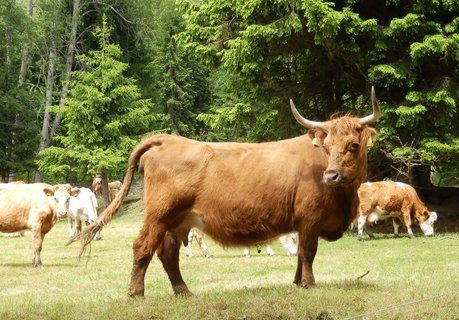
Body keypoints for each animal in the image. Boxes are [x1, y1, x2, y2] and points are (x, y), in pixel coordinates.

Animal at [72, 87, 380, 296]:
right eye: (327, 146)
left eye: (353, 145)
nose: (331, 175)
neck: (344, 199)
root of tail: (167, 140)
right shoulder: (308, 219)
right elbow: (308, 252)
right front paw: (309, 284)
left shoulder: (304, 223)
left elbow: (301, 254)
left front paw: (297, 282)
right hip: (158, 215)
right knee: (143, 247)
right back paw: (136, 292)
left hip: (177, 220)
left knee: (168, 253)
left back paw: (183, 291)